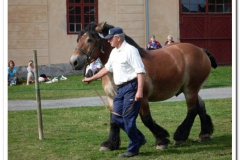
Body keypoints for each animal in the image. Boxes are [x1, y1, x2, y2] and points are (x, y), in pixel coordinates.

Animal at [69, 21, 218, 151]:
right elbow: (114, 120)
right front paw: (110, 144)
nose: (73, 62)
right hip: (189, 89)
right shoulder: (112, 98)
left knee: (192, 110)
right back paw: (204, 134)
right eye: (78, 39)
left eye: (89, 40)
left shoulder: (141, 98)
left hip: (190, 90)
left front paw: (162, 139)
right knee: (200, 106)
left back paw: (180, 136)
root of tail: (201, 50)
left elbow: (146, 119)